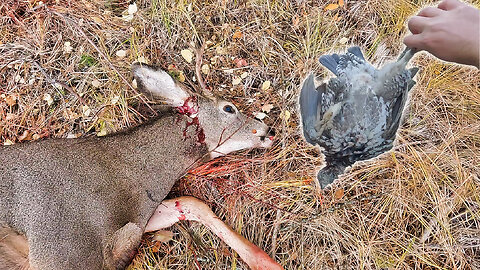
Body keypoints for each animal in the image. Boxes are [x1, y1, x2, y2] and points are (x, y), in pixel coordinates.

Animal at [0, 63, 282, 270]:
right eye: (229, 108)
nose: (268, 130)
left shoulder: (141, 217)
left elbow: (191, 203)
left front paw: (266, 262)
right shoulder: (59, 244)